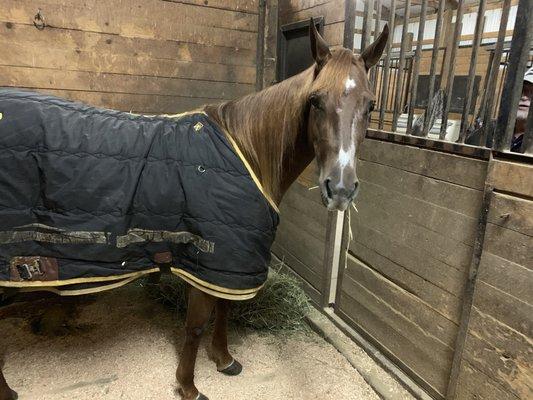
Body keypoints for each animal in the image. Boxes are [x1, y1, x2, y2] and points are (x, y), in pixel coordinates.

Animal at [0, 21, 386, 400]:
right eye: (316, 101)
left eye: (370, 105)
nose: (340, 188)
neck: (244, 150)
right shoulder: (208, 259)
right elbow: (197, 324)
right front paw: (189, 386)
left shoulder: (229, 262)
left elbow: (224, 309)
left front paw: (224, 359)